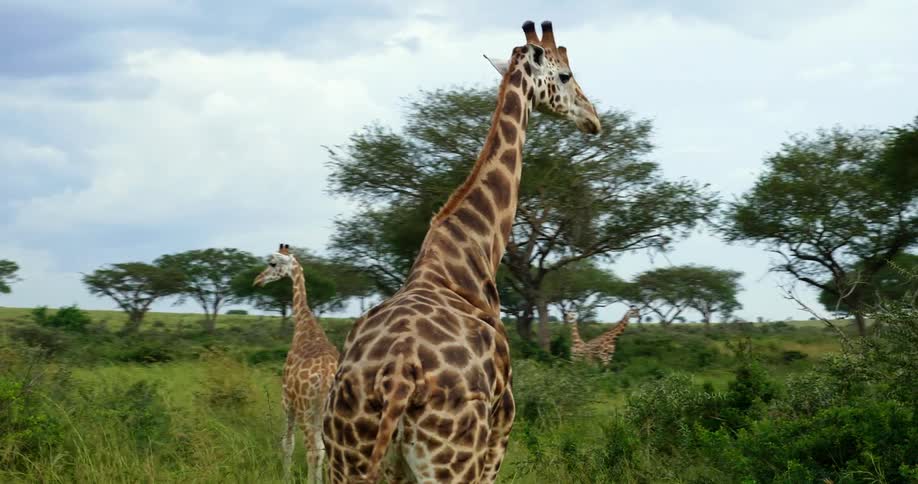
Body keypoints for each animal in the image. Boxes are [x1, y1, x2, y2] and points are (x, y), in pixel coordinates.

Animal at [253, 244, 339, 484]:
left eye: (272, 263)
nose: (257, 280)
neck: (304, 327)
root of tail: (327, 377)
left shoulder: (287, 400)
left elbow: (287, 443)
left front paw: (285, 477)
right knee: (327, 450)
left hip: (306, 409)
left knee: (313, 450)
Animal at [322, 20, 601, 484]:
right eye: (565, 75)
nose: (594, 117)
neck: (469, 251)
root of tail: (398, 377)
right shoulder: (501, 430)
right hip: (453, 461)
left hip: (347, 456)